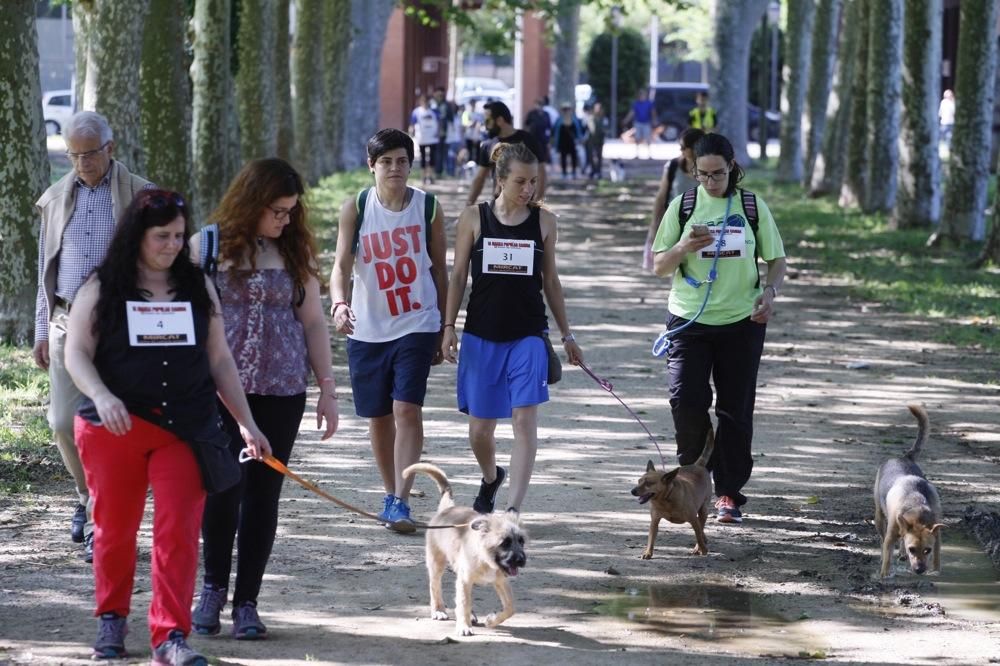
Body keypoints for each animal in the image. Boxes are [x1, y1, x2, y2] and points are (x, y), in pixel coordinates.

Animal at [628, 426, 716, 556]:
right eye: (639, 481)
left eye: (648, 484)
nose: (632, 491)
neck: (666, 500)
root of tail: (698, 465)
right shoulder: (654, 521)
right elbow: (651, 538)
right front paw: (648, 552)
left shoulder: (693, 520)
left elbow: (698, 535)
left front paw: (702, 549)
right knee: (701, 528)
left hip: (703, 510)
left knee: (701, 527)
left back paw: (698, 547)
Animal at [876, 402, 944, 580]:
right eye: (912, 549)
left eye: (927, 550)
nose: (919, 570)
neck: (918, 513)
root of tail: (904, 457)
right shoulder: (890, 536)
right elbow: (887, 555)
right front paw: (884, 574)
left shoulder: (937, 536)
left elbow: (937, 556)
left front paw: (936, 570)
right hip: (879, 517)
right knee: (882, 538)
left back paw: (900, 553)